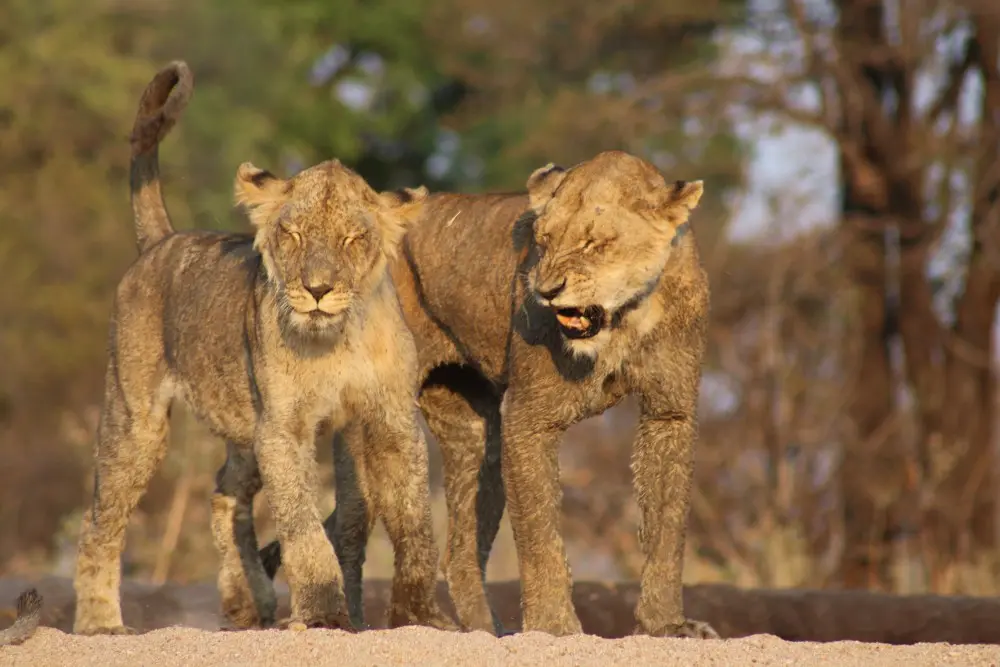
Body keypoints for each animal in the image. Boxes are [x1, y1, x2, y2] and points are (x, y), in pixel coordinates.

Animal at [71, 61, 455, 635]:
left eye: (352, 239)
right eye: (292, 234)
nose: (317, 289)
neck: (336, 338)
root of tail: (163, 240)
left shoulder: (390, 419)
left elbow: (414, 524)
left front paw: (422, 616)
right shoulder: (284, 427)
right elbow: (302, 526)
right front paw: (323, 614)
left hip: (240, 422)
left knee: (224, 493)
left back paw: (247, 603)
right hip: (137, 420)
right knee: (100, 522)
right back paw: (100, 623)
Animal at [259, 150, 719, 639]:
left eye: (595, 242)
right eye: (543, 240)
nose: (546, 291)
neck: (623, 320)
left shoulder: (670, 414)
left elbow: (668, 526)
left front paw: (666, 624)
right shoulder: (528, 416)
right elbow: (539, 533)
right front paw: (554, 627)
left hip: (478, 440)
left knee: (459, 553)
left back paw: (482, 630)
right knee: (347, 527)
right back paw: (350, 624)